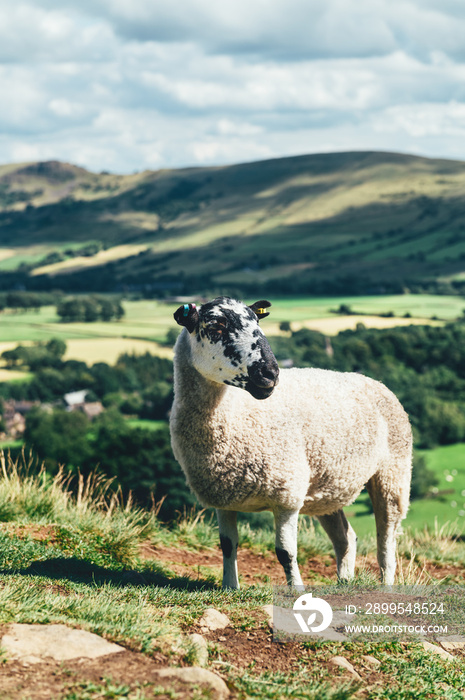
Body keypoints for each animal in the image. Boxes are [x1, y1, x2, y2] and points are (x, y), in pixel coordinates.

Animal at [169, 298, 412, 588]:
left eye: (257, 321)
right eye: (216, 326)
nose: (270, 373)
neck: (236, 411)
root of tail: (374, 381)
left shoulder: (286, 495)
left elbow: (285, 552)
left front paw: (296, 589)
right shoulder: (223, 497)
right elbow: (227, 545)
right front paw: (230, 586)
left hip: (393, 474)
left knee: (387, 543)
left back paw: (386, 584)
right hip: (327, 489)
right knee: (346, 538)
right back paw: (344, 582)